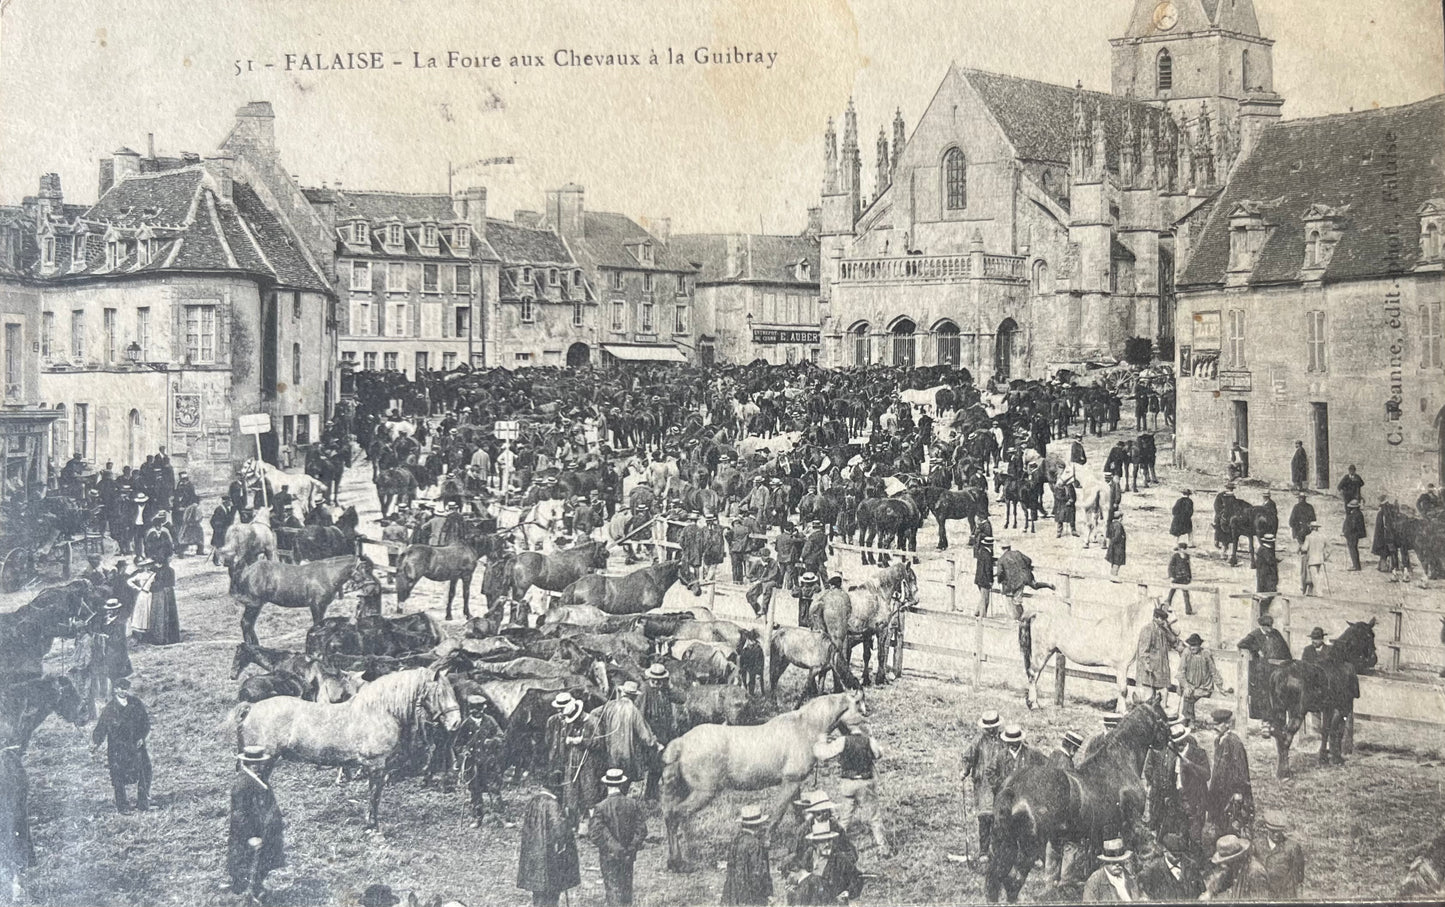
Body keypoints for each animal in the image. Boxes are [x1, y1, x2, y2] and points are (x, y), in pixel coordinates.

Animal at [982, 701, 1173, 901]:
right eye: (1163, 718)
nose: (1170, 740)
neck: (1119, 762)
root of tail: (1013, 788)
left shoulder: (1101, 833)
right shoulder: (1128, 825)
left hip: (1005, 844)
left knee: (994, 880)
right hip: (1028, 848)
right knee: (1012, 881)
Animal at [1265, 621, 1375, 774]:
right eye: (1369, 635)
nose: (1373, 659)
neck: (1339, 661)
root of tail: (1281, 673)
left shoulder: (1327, 708)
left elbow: (1325, 731)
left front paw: (1323, 758)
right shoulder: (1342, 707)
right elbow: (1336, 731)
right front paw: (1337, 758)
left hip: (1279, 711)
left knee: (1278, 735)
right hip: (1297, 713)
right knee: (1286, 736)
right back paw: (1285, 772)